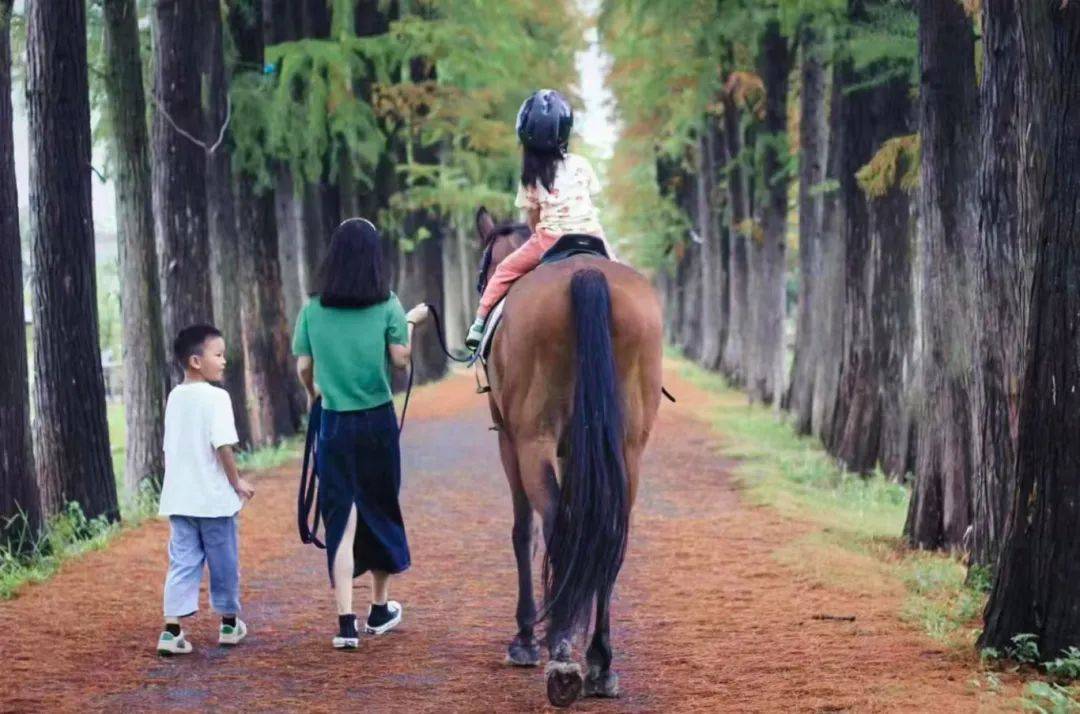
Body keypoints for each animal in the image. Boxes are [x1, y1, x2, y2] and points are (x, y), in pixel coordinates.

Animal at [475, 207, 660, 708]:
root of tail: (586, 275)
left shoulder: (509, 441)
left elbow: (524, 531)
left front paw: (524, 638)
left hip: (531, 440)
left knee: (558, 527)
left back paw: (560, 656)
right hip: (626, 449)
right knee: (607, 537)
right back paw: (599, 663)